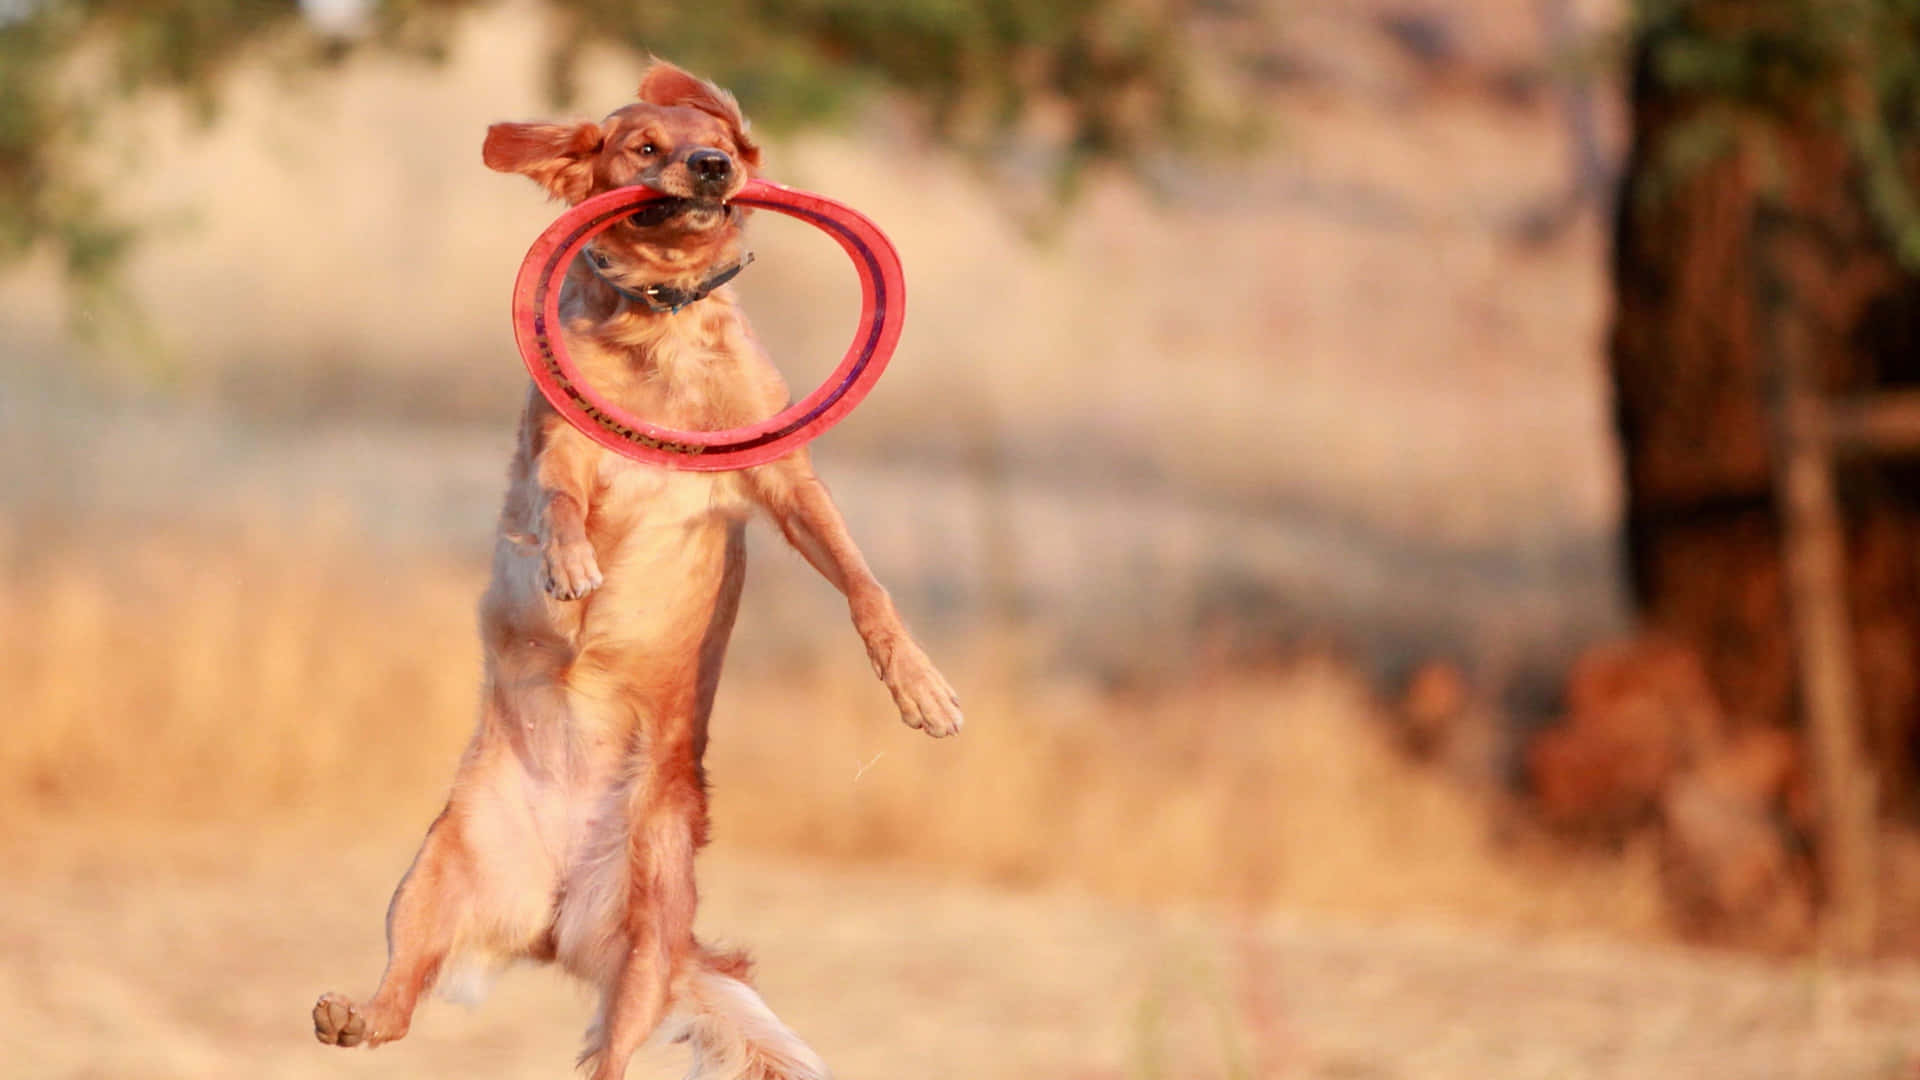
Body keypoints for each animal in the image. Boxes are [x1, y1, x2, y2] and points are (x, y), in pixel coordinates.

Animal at [311, 61, 960, 1076]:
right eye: (644, 146)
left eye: (719, 142)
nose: (711, 167)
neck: (663, 325)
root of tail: (552, 914)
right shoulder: (567, 449)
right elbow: (562, 501)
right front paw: (571, 565)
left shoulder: (784, 477)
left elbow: (864, 581)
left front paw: (921, 689)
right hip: (434, 874)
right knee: (402, 1004)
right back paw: (351, 1015)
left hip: (649, 934)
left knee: (610, 1053)